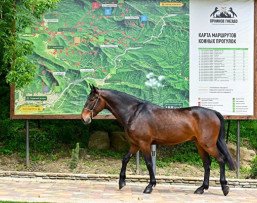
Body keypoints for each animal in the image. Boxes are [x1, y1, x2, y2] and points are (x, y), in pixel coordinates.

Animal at [81, 84, 235, 195]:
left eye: (92, 99)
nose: (84, 118)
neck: (134, 113)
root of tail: (214, 112)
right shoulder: (135, 144)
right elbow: (125, 159)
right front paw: (122, 182)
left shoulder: (144, 144)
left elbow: (149, 163)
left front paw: (150, 186)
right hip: (200, 145)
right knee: (207, 164)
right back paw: (201, 189)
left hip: (208, 144)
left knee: (221, 160)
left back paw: (225, 188)